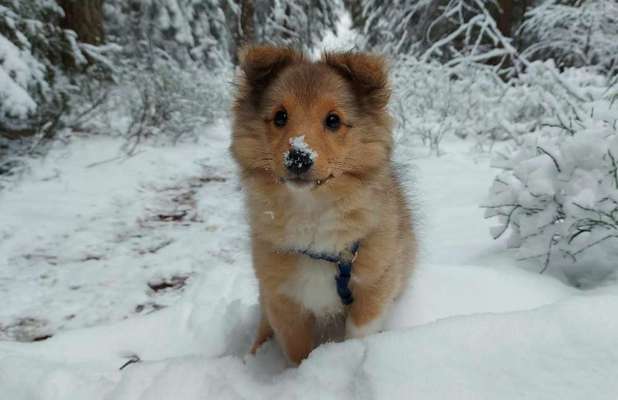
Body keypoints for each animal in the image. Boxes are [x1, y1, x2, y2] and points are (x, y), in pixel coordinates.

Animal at [230, 45, 414, 364]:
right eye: (280, 116)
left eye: (333, 120)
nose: (298, 157)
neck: (311, 213)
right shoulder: (282, 298)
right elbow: (297, 350)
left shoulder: (376, 283)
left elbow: (360, 330)